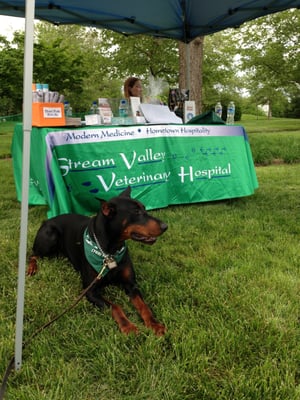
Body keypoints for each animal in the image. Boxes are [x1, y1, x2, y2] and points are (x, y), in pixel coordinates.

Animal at [27, 187, 169, 334]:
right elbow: (115, 306)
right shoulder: (90, 290)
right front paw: (128, 326)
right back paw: (32, 268)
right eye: (136, 212)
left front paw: (155, 324)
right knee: (32, 254)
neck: (110, 252)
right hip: (50, 236)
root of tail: (46, 221)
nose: (165, 226)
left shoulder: (131, 284)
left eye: (144, 208)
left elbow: (144, 305)